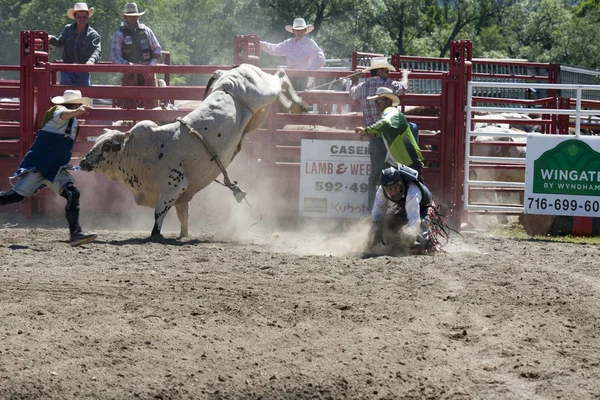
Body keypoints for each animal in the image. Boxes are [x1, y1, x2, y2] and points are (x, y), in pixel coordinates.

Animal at [79, 63, 308, 238]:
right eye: (96, 141)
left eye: (107, 146)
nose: (82, 162)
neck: (141, 152)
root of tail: (235, 69)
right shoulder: (183, 195)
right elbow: (183, 216)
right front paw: (183, 235)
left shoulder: (173, 186)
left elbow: (159, 215)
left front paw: (156, 235)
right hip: (259, 114)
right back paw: (294, 106)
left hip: (263, 90)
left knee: (280, 75)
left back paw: (299, 104)